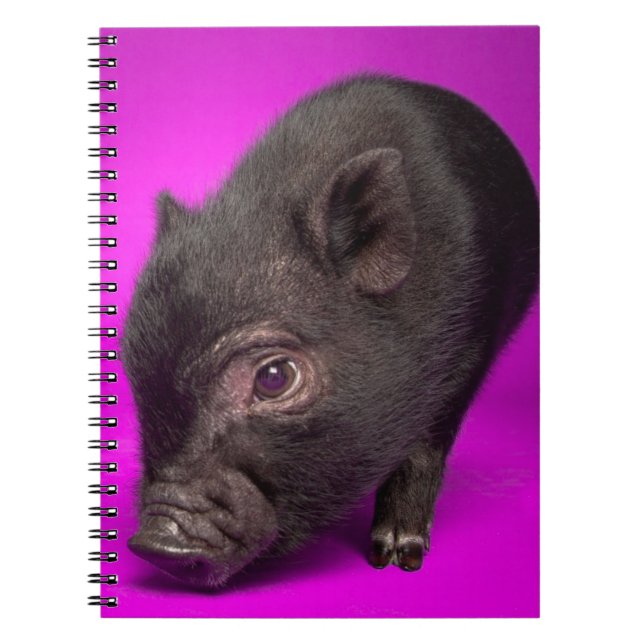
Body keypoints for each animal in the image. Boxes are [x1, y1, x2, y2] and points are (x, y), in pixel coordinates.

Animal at [122, 73, 539, 589]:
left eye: (275, 377)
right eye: (137, 374)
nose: (153, 542)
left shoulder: (468, 353)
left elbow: (423, 450)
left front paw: (395, 558)